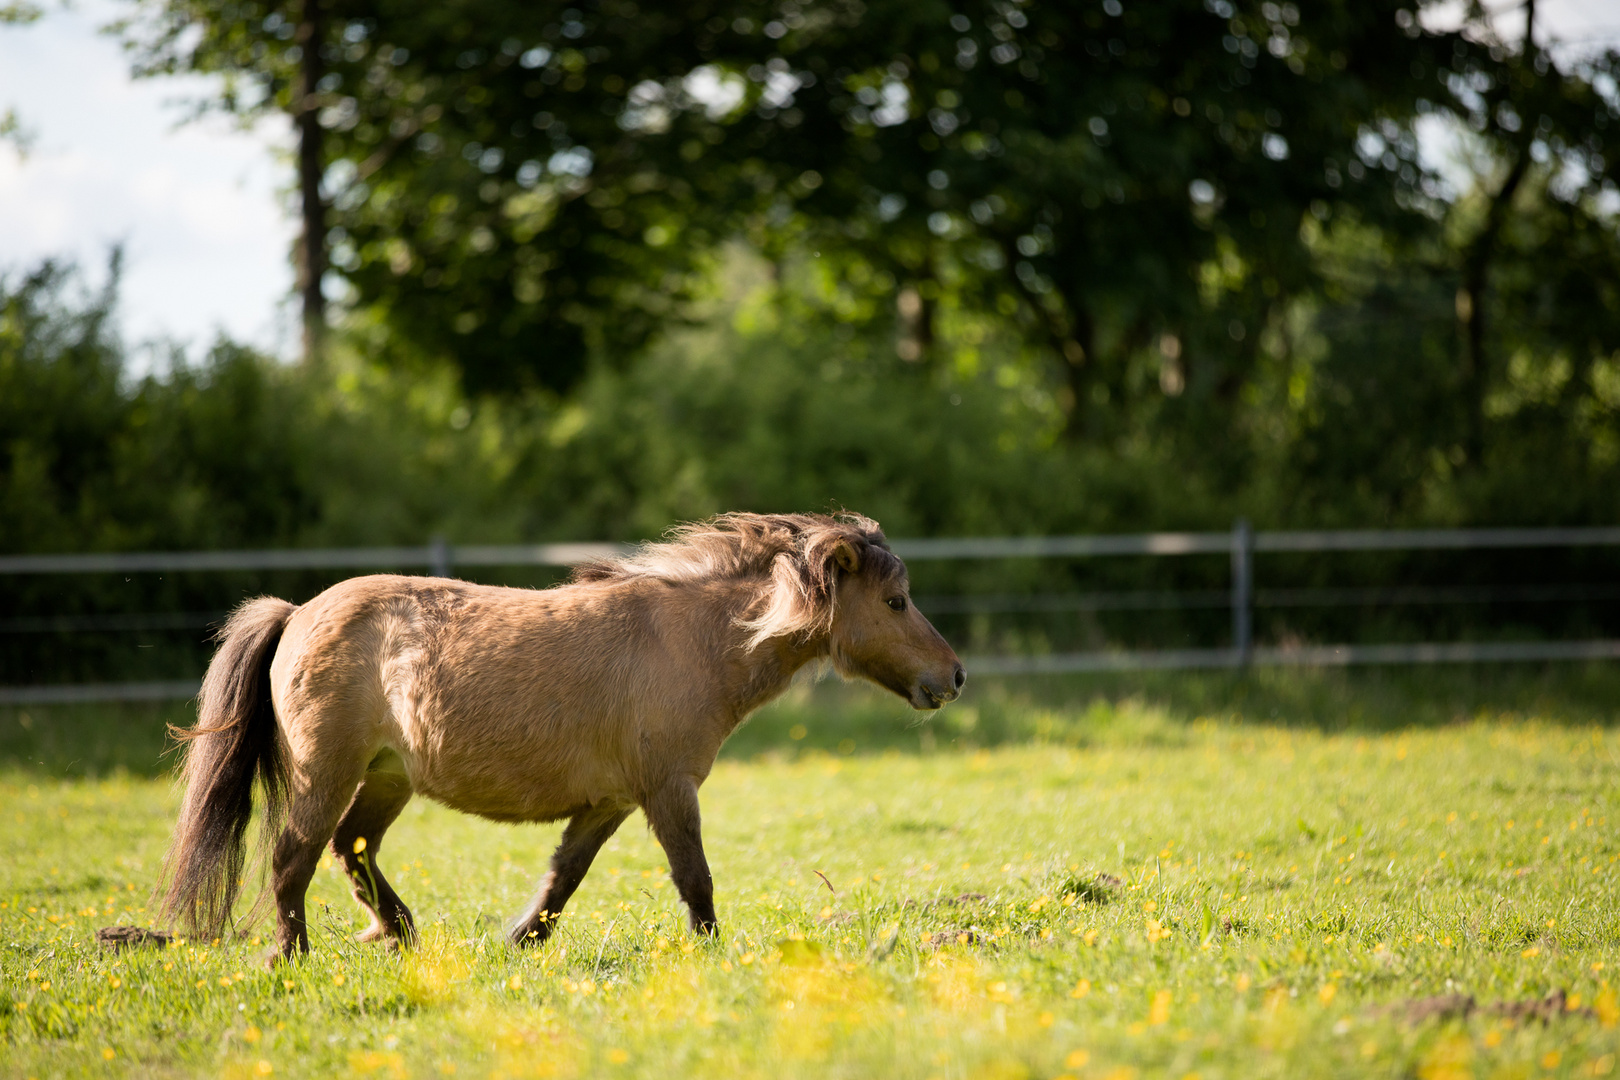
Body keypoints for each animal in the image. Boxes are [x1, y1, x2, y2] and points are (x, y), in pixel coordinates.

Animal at [154, 514, 959, 965]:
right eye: (896, 601)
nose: (951, 677)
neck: (695, 642)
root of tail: (296, 614)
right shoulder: (668, 789)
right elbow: (694, 878)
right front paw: (713, 955)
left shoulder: (611, 802)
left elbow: (562, 879)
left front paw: (518, 944)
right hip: (327, 772)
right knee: (294, 858)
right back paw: (293, 958)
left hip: (386, 777)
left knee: (352, 850)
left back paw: (400, 934)